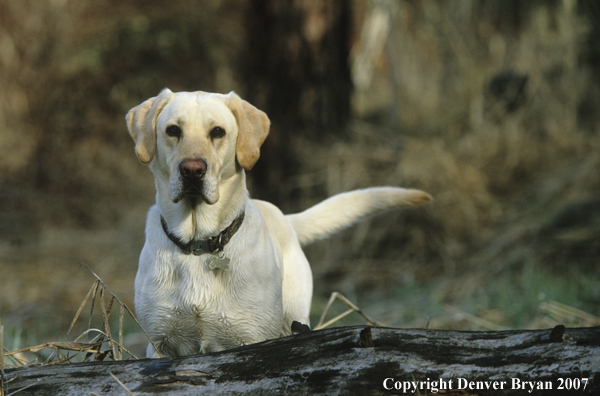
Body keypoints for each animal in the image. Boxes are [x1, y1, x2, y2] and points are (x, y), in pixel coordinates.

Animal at [125, 89, 432, 358]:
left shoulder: (252, 337)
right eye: (173, 130)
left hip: (293, 318)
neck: (198, 241)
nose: (192, 170)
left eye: (218, 132)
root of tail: (285, 217)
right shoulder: (160, 344)